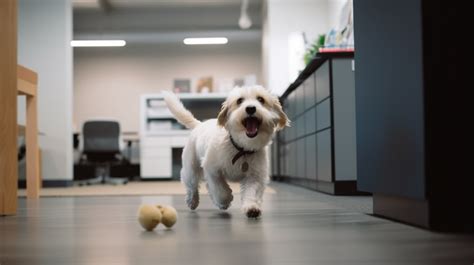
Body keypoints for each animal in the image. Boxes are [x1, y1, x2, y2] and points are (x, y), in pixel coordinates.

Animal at [163, 85, 288, 218]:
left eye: (261, 99)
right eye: (239, 101)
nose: (250, 108)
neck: (241, 148)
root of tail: (200, 124)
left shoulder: (255, 176)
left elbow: (251, 192)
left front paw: (251, 207)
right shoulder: (212, 170)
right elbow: (220, 190)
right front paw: (225, 201)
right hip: (191, 168)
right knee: (192, 185)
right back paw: (193, 201)